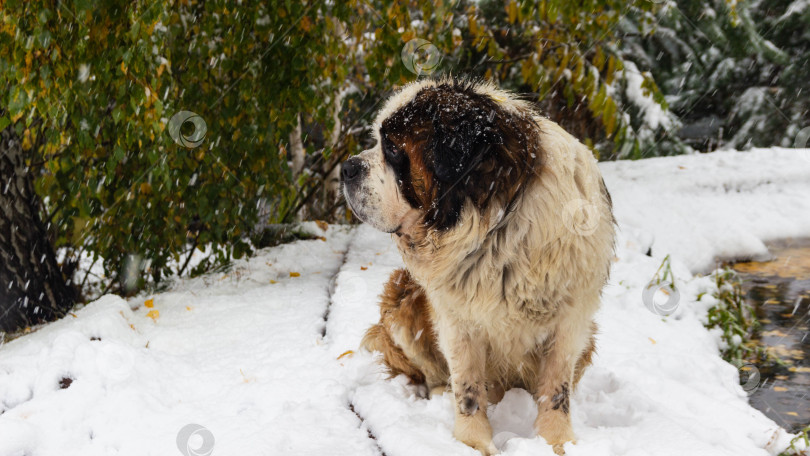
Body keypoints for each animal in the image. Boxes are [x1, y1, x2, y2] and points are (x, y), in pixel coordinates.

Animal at [340, 80, 612, 454]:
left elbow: (557, 389)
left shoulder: (571, 319)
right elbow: (467, 387)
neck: (496, 226)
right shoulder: (456, 319)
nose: (346, 168)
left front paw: (558, 442)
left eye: (393, 149)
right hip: (401, 303)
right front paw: (474, 443)